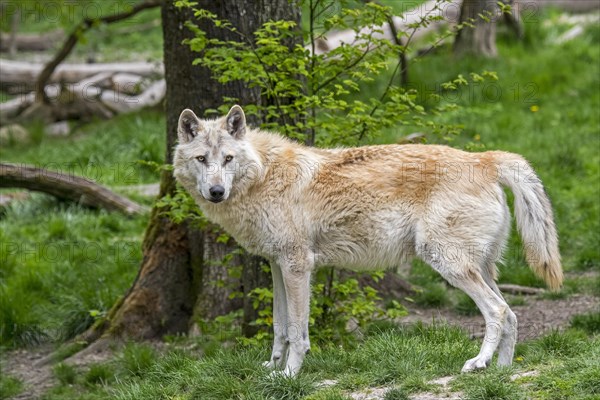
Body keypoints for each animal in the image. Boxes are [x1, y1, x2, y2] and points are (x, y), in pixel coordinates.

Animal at [172, 104, 564, 376]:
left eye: (228, 158)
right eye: (202, 159)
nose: (216, 192)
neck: (263, 176)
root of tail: (485, 158)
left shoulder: (298, 266)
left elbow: (298, 332)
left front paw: (289, 376)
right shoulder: (277, 265)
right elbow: (279, 326)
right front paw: (271, 368)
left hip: (447, 263)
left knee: (498, 311)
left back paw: (479, 362)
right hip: (478, 268)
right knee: (512, 314)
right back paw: (501, 371)